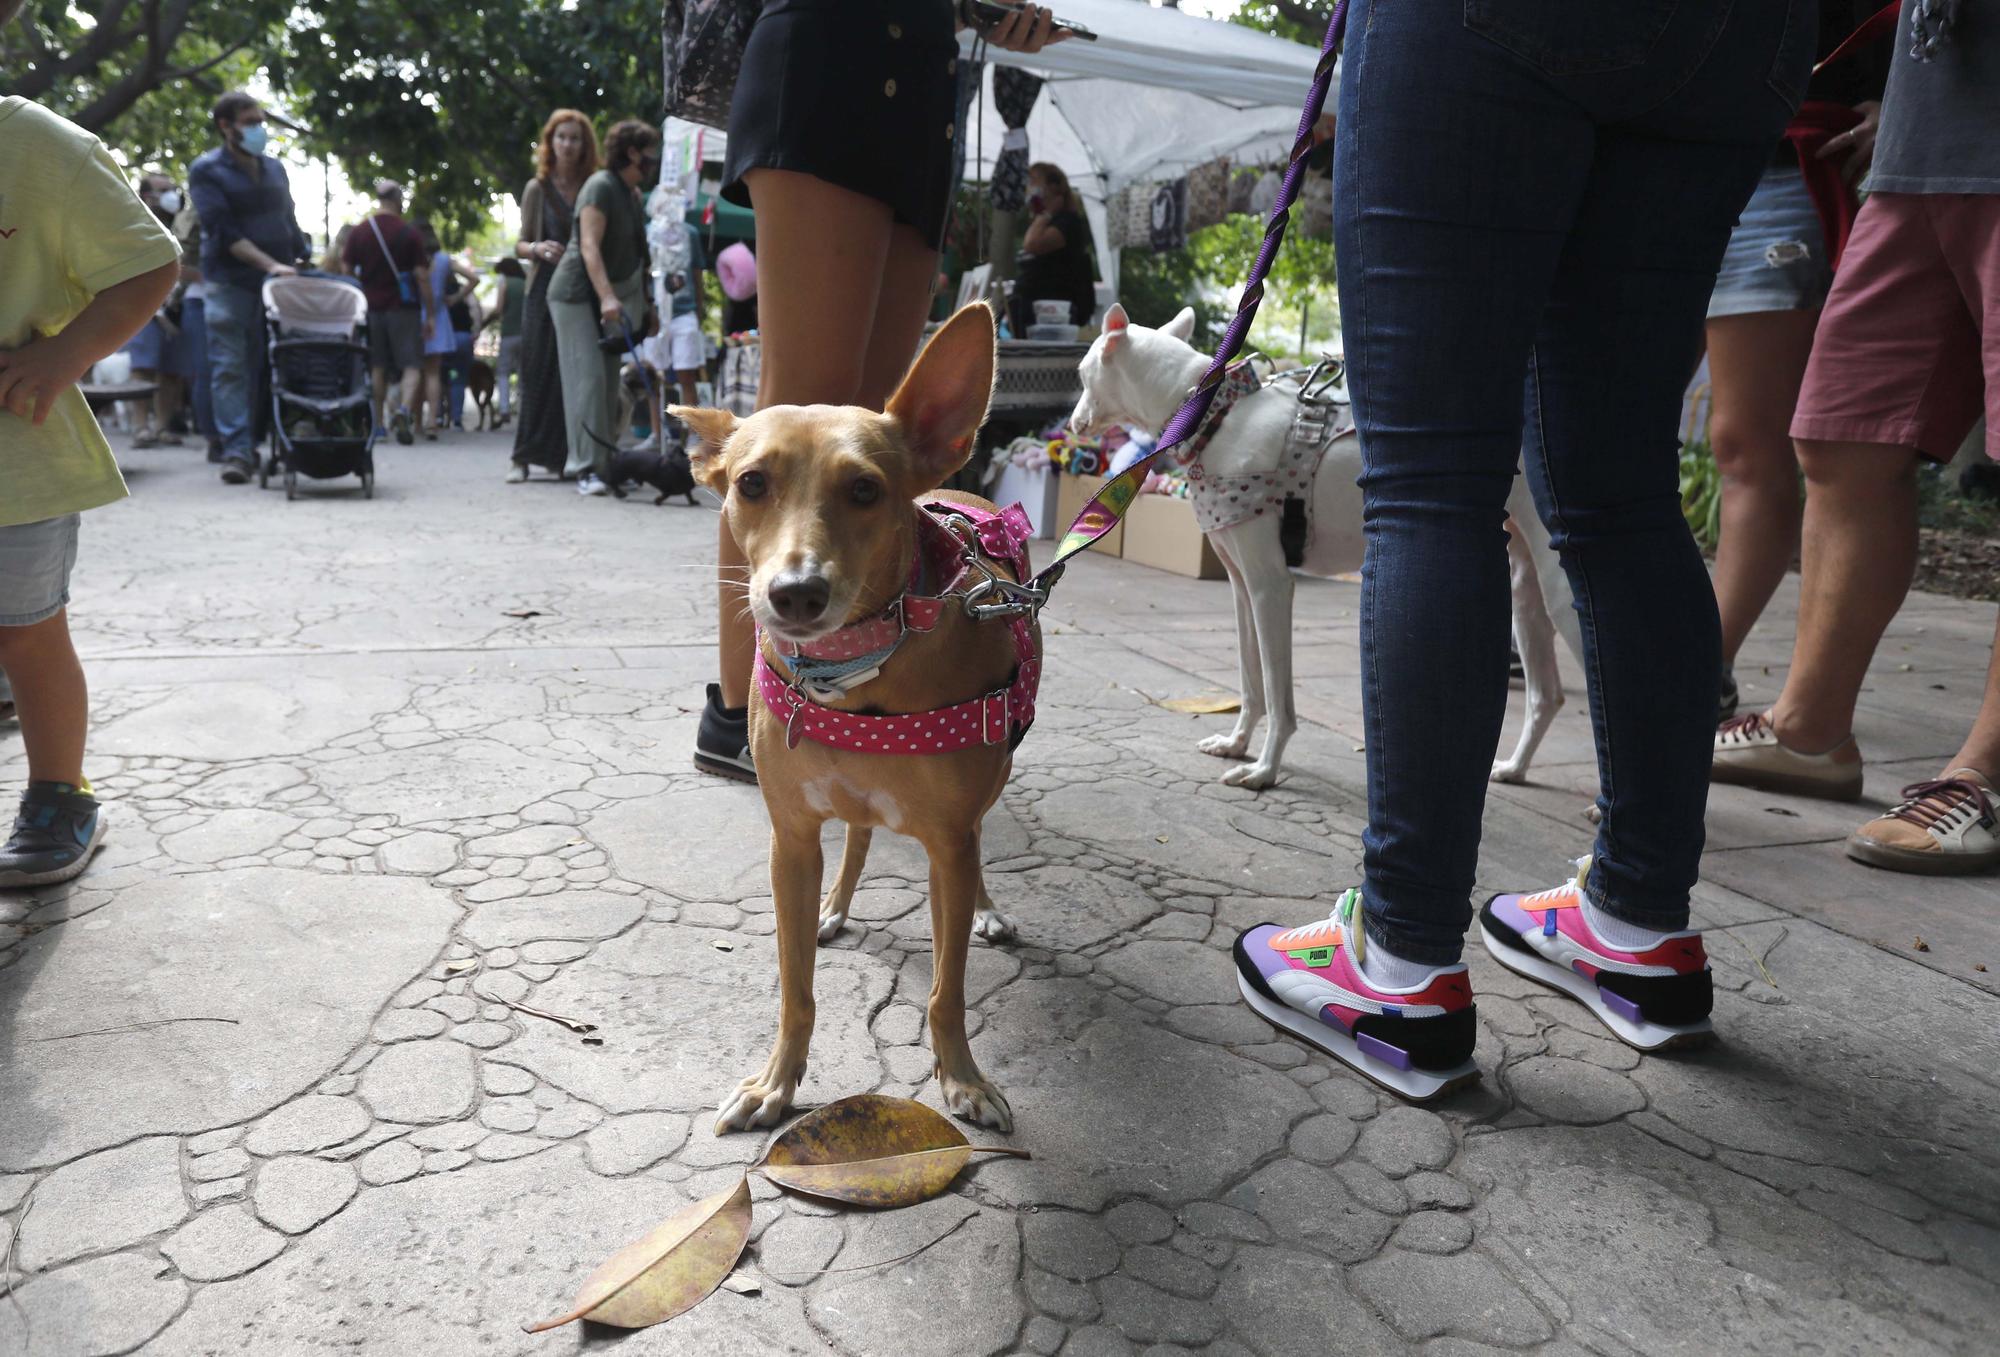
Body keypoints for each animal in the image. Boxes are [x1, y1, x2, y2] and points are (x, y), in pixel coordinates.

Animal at [680, 308, 1040, 1136]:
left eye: (866, 489)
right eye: (751, 482)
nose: (796, 593)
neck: (855, 674)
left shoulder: (948, 845)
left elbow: (946, 990)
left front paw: (963, 1077)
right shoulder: (790, 839)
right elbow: (796, 988)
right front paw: (775, 1082)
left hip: (994, 776)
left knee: (977, 839)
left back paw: (987, 911)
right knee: (860, 837)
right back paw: (836, 907)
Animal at [1072, 308, 1584, 792]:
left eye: (1081, 371)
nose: (1074, 423)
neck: (1216, 416)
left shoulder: (1272, 586)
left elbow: (1277, 694)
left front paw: (1264, 769)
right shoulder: (1242, 585)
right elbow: (1251, 681)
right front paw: (1236, 743)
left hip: (1562, 592)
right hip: (1524, 592)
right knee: (1547, 695)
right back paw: (1515, 768)